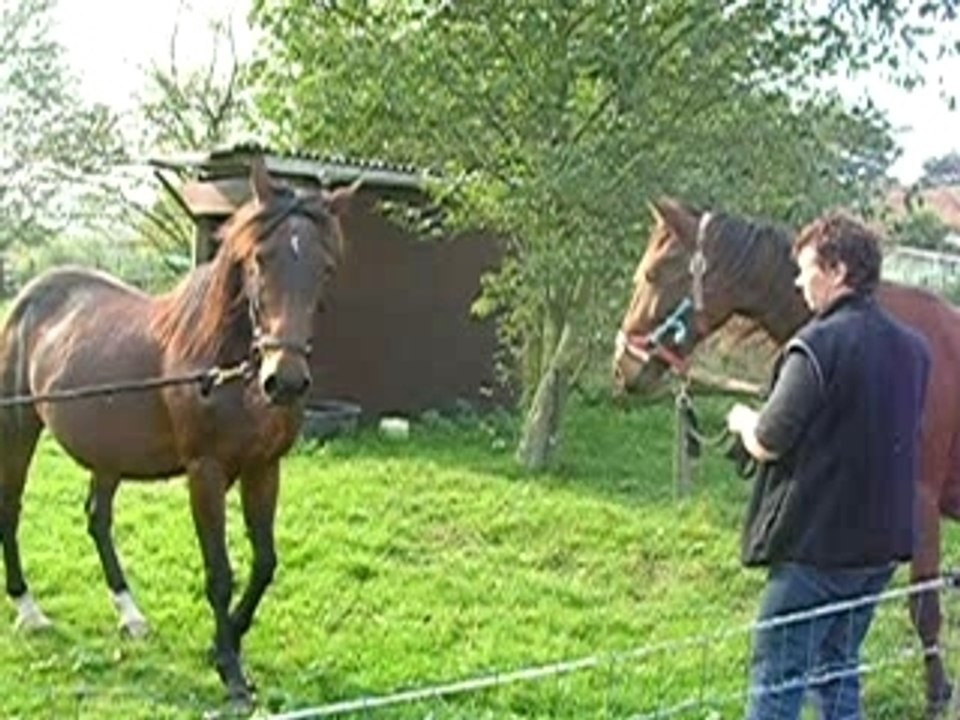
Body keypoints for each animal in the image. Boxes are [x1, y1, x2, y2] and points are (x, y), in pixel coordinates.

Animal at [0, 158, 355, 705]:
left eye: (326, 267)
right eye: (260, 260)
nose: (286, 380)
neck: (223, 369)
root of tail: (29, 297)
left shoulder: (264, 469)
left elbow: (265, 563)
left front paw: (224, 644)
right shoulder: (204, 473)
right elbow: (220, 572)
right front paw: (230, 670)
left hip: (108, 452)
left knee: (97, 519)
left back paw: (131, 615)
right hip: (19, 428)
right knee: (11, 509)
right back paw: (29, 610)